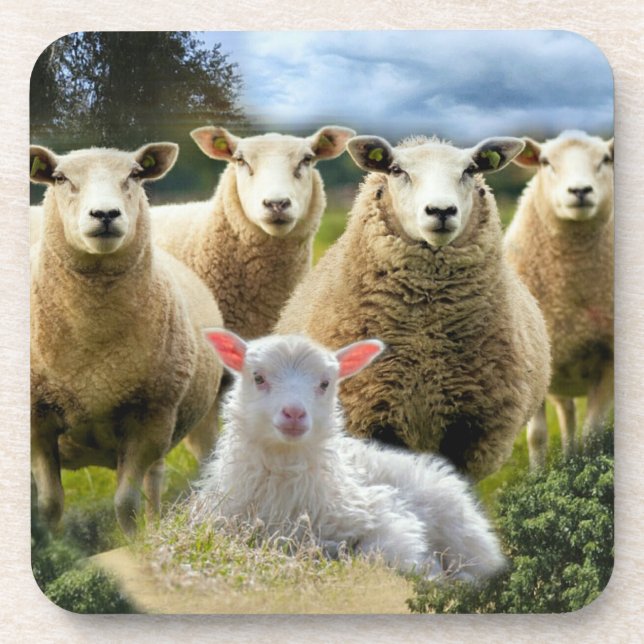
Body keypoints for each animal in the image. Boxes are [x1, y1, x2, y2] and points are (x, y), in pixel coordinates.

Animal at [30, 142, 224, 535]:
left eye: (135, 175)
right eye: (60, 178)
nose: (105, 213)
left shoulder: (149, 419)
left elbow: (126, 503)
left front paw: (135, 541)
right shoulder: (36, 419)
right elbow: (50, 504)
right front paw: (51, 542)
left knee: (156, 481)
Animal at [197, 330, 506, 580]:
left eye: (325, 383)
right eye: (258, 377)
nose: (294, 413)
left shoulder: (383, 514)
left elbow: (381, 551)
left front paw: (431, 572)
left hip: (462, 532)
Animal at [276, 134, 551, 481]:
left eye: (470, 170)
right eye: (396, 170)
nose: (441, 210)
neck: (425, 339)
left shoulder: (470, 429)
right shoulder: (370, 416)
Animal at [504, 130, 614, 468]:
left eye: (606, 159)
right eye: (545, 162)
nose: (579, 191)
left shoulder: (608, 360)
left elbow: (594, 434)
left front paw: (588, 466)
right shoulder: (533, 365)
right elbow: (537, 436)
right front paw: (539, 475)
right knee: (567, 417)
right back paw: (567, 459)